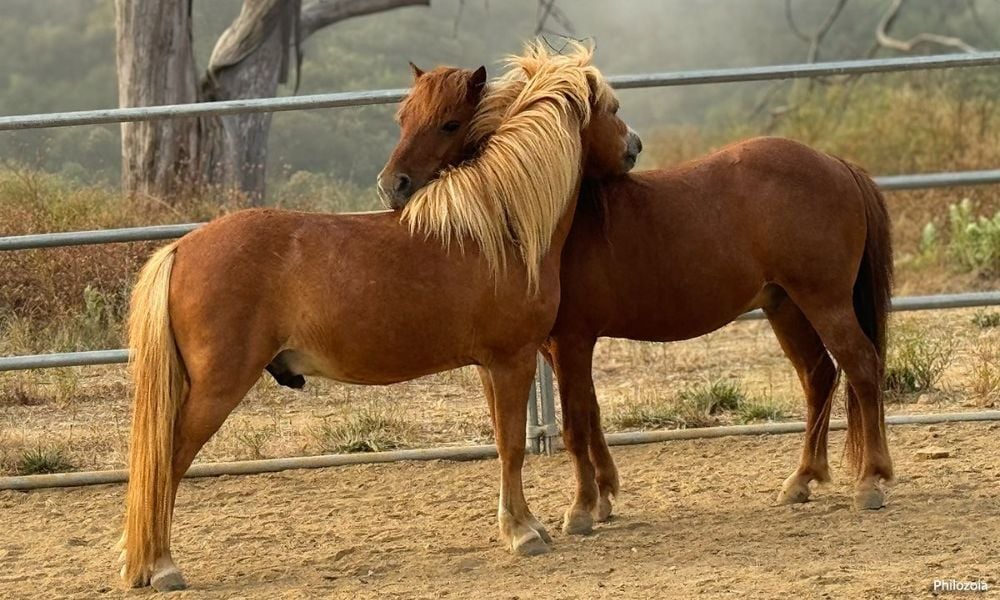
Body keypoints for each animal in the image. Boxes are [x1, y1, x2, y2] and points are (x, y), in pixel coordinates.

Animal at [117, 42, 632, 592]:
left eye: (449, 123)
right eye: (611, 109)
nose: (634, 147)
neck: (500, 226)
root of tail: (182, 247)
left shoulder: (490, 367)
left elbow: (501, 442)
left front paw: (522, 522)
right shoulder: (513, 361)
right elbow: (513, 446)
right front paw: (523, 533)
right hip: (216, 389)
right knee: (166, 462)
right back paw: (161, 565)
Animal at [380, 57, 892, 536]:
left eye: (449, 123)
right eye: (402, 117)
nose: (391, 186)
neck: (549, 221)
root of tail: (836, 164)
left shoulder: (571, 342)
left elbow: (575, 426)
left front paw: (580, 510)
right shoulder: (559, 348)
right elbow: (591, 414)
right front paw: (603, 497)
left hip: (824, 301)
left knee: (861, 365)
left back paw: (871, 481)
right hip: (784, 305)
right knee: (818, 376)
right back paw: (801, 480)